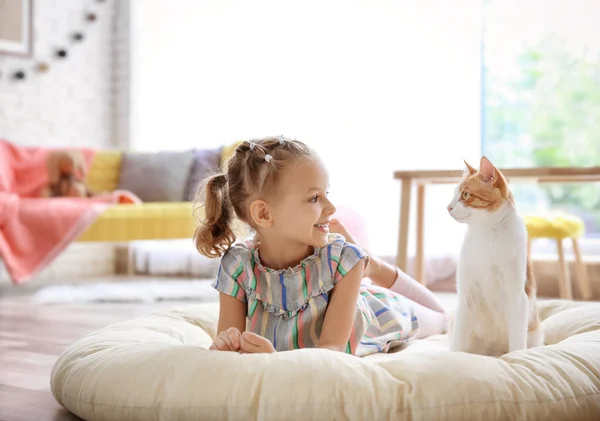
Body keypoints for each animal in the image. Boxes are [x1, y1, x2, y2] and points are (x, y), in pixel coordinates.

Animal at [446, 156, 544, 356]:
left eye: (465, 195)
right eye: (454, 194)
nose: (448, 207)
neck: (487, 235)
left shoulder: (517, 294)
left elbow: (517, 337)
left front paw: (516, 356)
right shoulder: (466, 293)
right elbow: (458, 338)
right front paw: (454, 356)